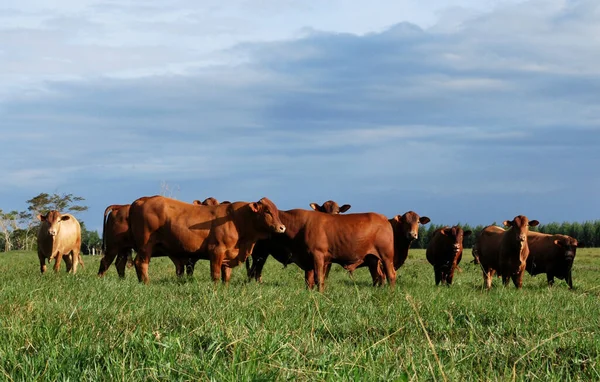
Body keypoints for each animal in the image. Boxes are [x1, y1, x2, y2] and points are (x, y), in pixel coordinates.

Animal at [127, 197, 286, 284]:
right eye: (267, 211)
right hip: (145, 245)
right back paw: (146, 283)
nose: (282, 227)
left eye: (276, 211)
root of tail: (141, 200)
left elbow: (226, 276)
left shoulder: (228, 255)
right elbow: (215, 274)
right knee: (141, 263)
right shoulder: (216, 251)